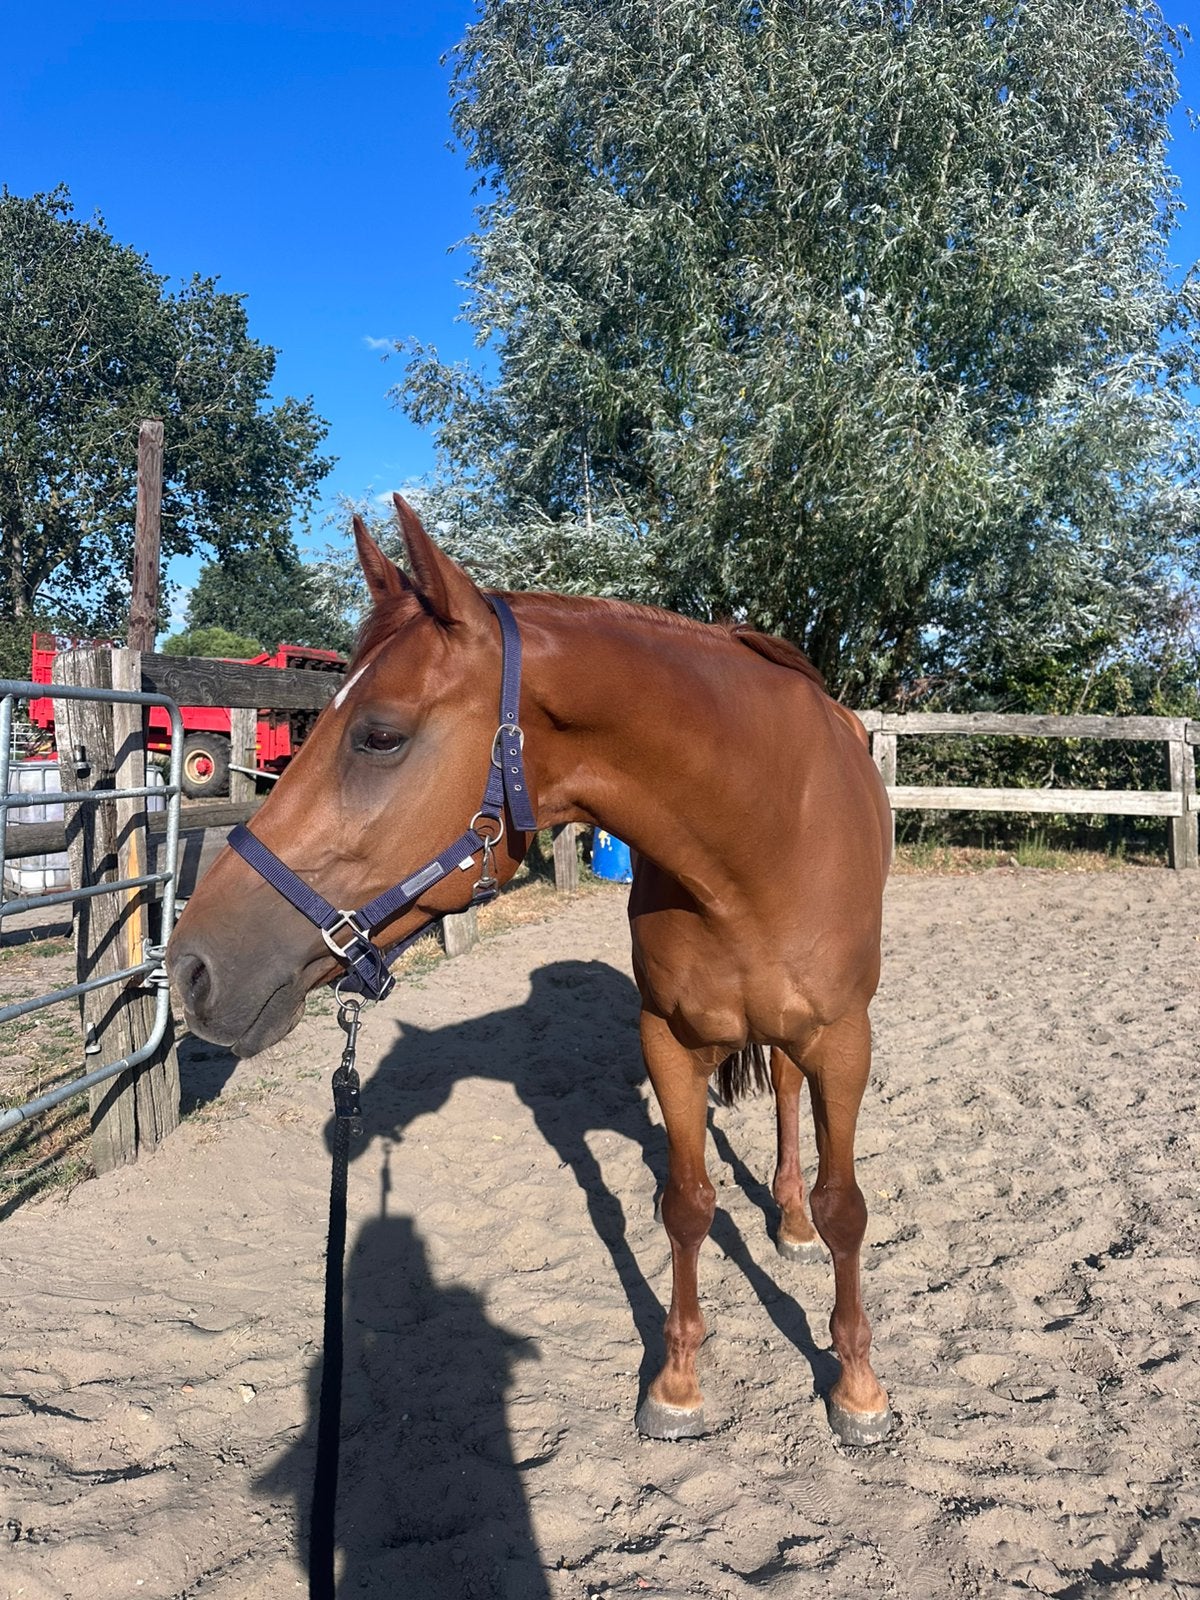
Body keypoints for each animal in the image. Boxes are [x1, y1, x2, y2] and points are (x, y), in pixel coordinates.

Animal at [167, 495, 894, 1447]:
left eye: (380, 735)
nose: (191, 968)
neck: (760, 833)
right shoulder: (668, 1041)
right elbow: (687, 1204)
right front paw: (676, 1384)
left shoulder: (845, 1043)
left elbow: (849, 1208)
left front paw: (857, 1388)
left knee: (785, 1096)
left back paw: (795, 1223)